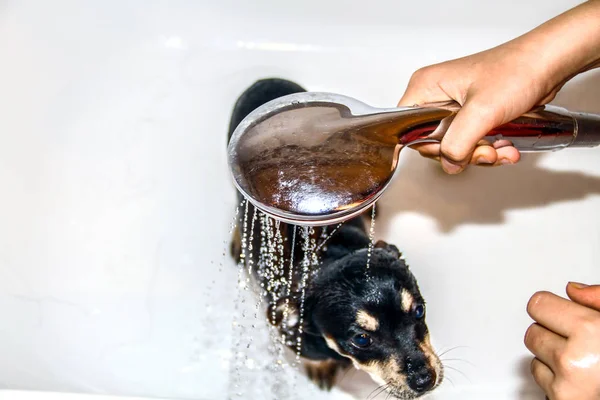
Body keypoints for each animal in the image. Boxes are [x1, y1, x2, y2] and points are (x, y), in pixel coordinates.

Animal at [227, 79, 442, 400]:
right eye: (361, 340)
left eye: (419, 311)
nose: (424, 380)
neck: (328, 255)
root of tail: (267, 81)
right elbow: (314, 355)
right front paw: (321, 367)